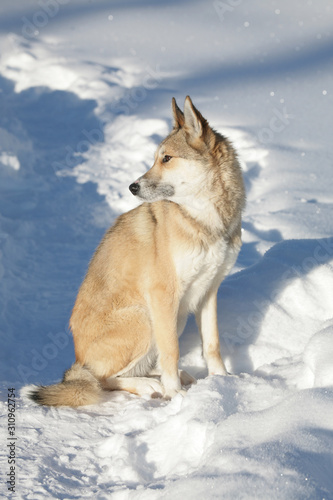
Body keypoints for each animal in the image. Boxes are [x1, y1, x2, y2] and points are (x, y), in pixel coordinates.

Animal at [27, 94, 244, 406]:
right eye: (156, 158)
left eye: (166, 158)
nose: (132, 187)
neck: (203, 220)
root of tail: (77, 362)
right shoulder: (163, 295)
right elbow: (171, 351)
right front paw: (175, 394)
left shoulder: (209, 291)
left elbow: (211, 344)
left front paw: (222, 381)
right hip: (144, 319)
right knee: (102, 380)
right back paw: (150, 385)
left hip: (173, 318)